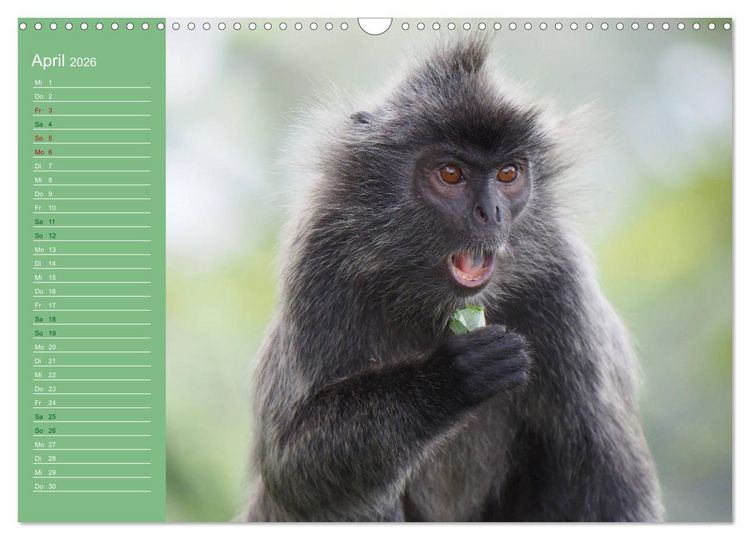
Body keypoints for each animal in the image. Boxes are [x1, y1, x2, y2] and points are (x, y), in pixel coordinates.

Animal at [243, 38, 665, 522]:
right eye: (451, 173)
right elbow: (291, 469)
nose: (491, 212)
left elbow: (616, 489)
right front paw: (449, 377)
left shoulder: (562, 282)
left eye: (508, 173)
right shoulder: (320, 260)